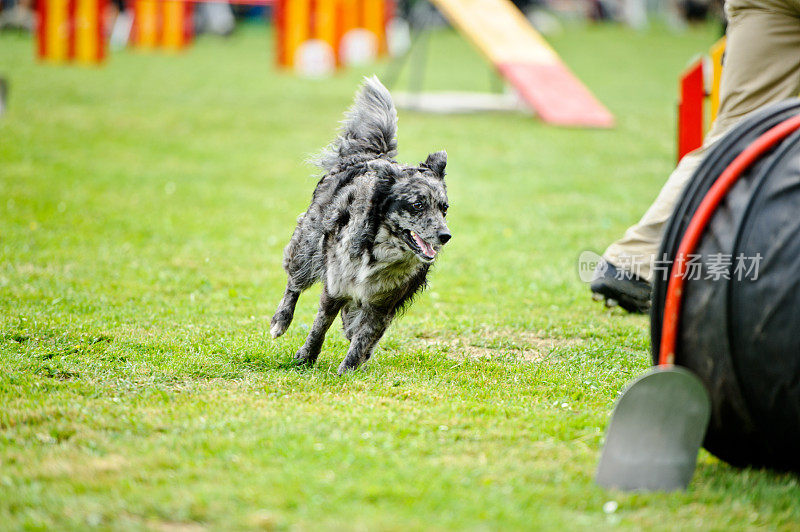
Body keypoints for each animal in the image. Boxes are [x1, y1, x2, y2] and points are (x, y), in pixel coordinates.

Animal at [272, 76, 450, 374]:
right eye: (417, 205)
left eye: (444, 208)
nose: (445, 235)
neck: (378, 251)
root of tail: (372, 155)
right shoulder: (335, 286)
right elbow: (320, 326)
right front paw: (306, 357)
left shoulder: (382, 305)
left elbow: (364, 337)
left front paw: (348, 370)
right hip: (307, 246)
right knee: (294, 284)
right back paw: (280, 321)